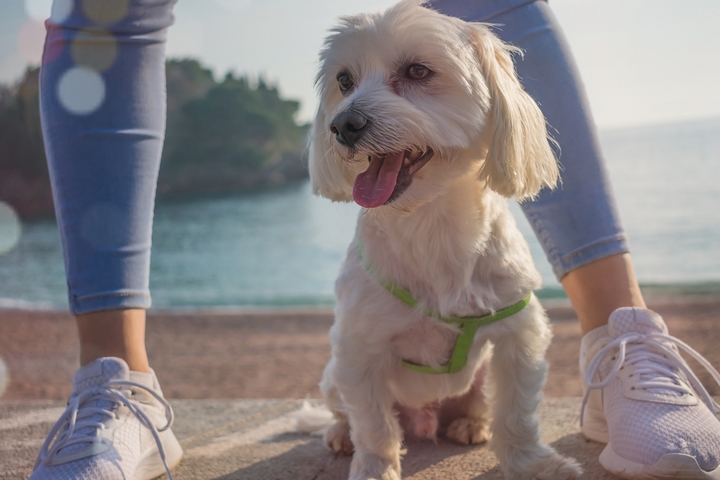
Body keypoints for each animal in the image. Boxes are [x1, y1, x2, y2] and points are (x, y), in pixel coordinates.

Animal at [306, 1, 584, 478]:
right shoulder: (357, 350)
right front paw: (375, 466)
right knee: (346, 411)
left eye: (418, 71)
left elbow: (517, 412)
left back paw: (472, 423)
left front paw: (532, 463)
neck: (430, 223)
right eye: (344, 80)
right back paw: (340, 434)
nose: (342, 125)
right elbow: (373, 425)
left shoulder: (519, 333)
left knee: (480, 402)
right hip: (331, 375)